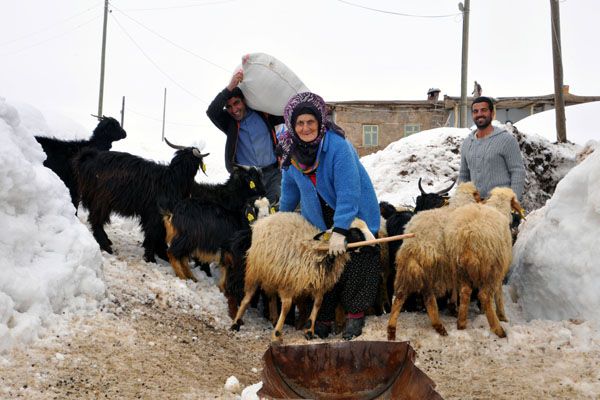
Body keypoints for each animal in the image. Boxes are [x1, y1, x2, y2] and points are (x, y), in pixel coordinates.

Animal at [74, 138, 209, 262]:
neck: (173, 179)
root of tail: (89, 160)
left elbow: (158, 234)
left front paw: (162, 254)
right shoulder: (155, 214)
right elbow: (154, 234)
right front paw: (151, 257)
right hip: (102, 200)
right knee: (96, 220)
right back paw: (106, 247)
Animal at [232, 211, 372, 342]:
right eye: (354, 232)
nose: (374, 244)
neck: (321, 253)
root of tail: (264, 220)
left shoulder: (319, 284)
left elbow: (318, 304)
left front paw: (309, 330)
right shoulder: (288, 284)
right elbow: (286, 307)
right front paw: (277, 334)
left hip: (272, 275)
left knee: (271, 296)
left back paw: (274, 318)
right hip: (255, 272)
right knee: (247, 298)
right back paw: (235, 323)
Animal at [386, 183, 480, 340]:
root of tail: (414, 245)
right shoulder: (453, 261)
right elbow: (455, 284)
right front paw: (453, 306)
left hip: (405, 266)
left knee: (400, 294)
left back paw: (391, 330)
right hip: (430, 269)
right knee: (428, 297)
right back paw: (439, 326)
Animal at [442, 188, 524, 338]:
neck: (497, 207)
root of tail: (469, 238)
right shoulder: (500, 268)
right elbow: (499, 293)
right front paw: (502, 316)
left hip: (458, 267)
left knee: (465, 291)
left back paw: (461, 323)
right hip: (490, 267)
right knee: (485, 295)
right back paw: (498, 329)